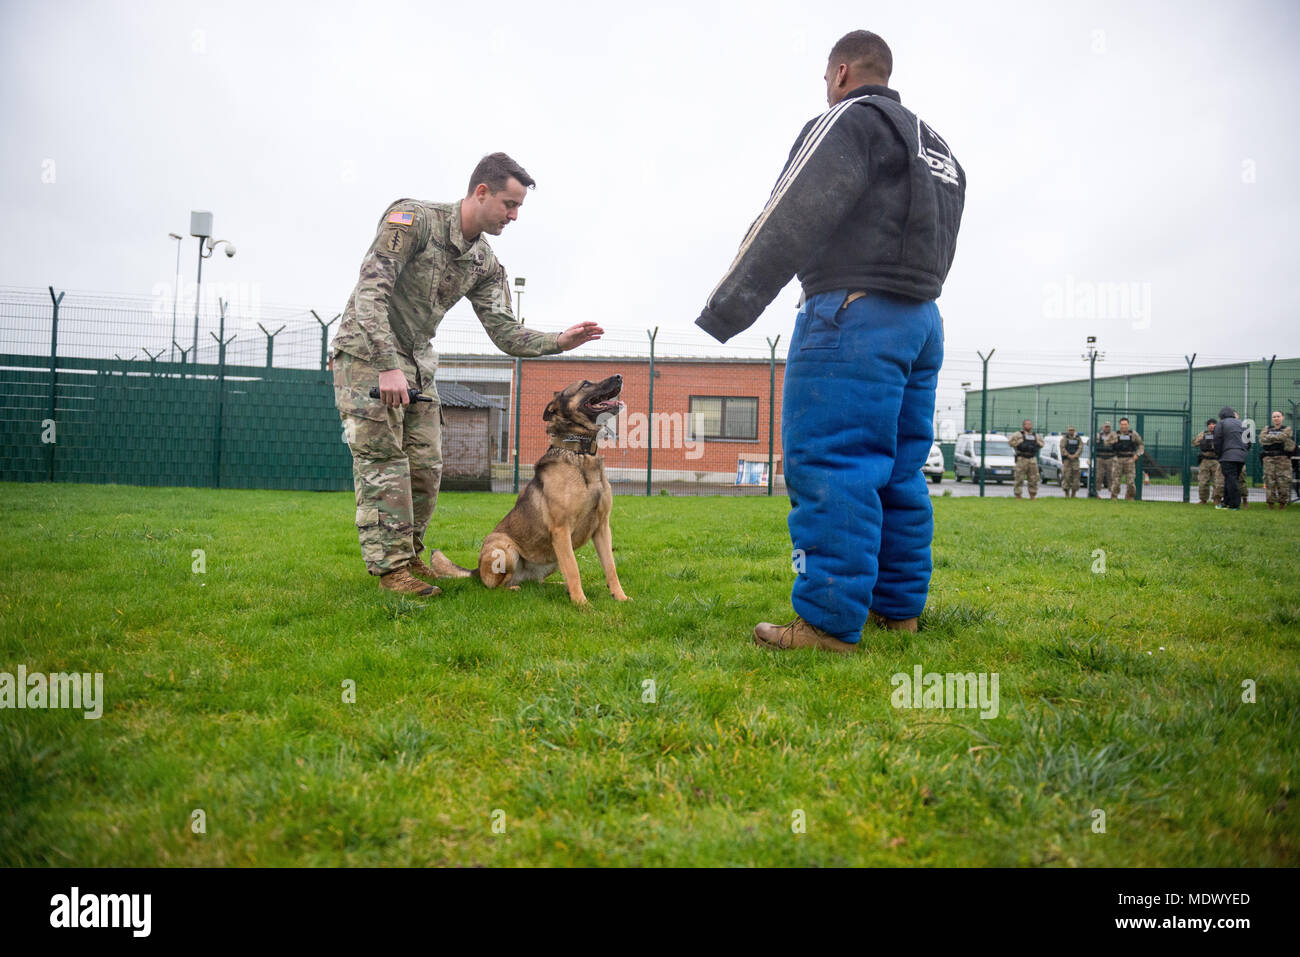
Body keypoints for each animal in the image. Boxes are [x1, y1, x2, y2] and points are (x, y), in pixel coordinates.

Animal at [428, 374, 626, 605]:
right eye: (585, 384)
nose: (619, 376)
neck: (579, 453)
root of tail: (476, 570)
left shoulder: (602, 528)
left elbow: (610, 567)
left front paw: (620, 597)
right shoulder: (561, 530)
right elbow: (573, 568)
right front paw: (582, 604)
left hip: (552, 559)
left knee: (539, 582)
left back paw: (558, 586)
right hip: (504, 547)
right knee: (495, 586)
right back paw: (515, 589)